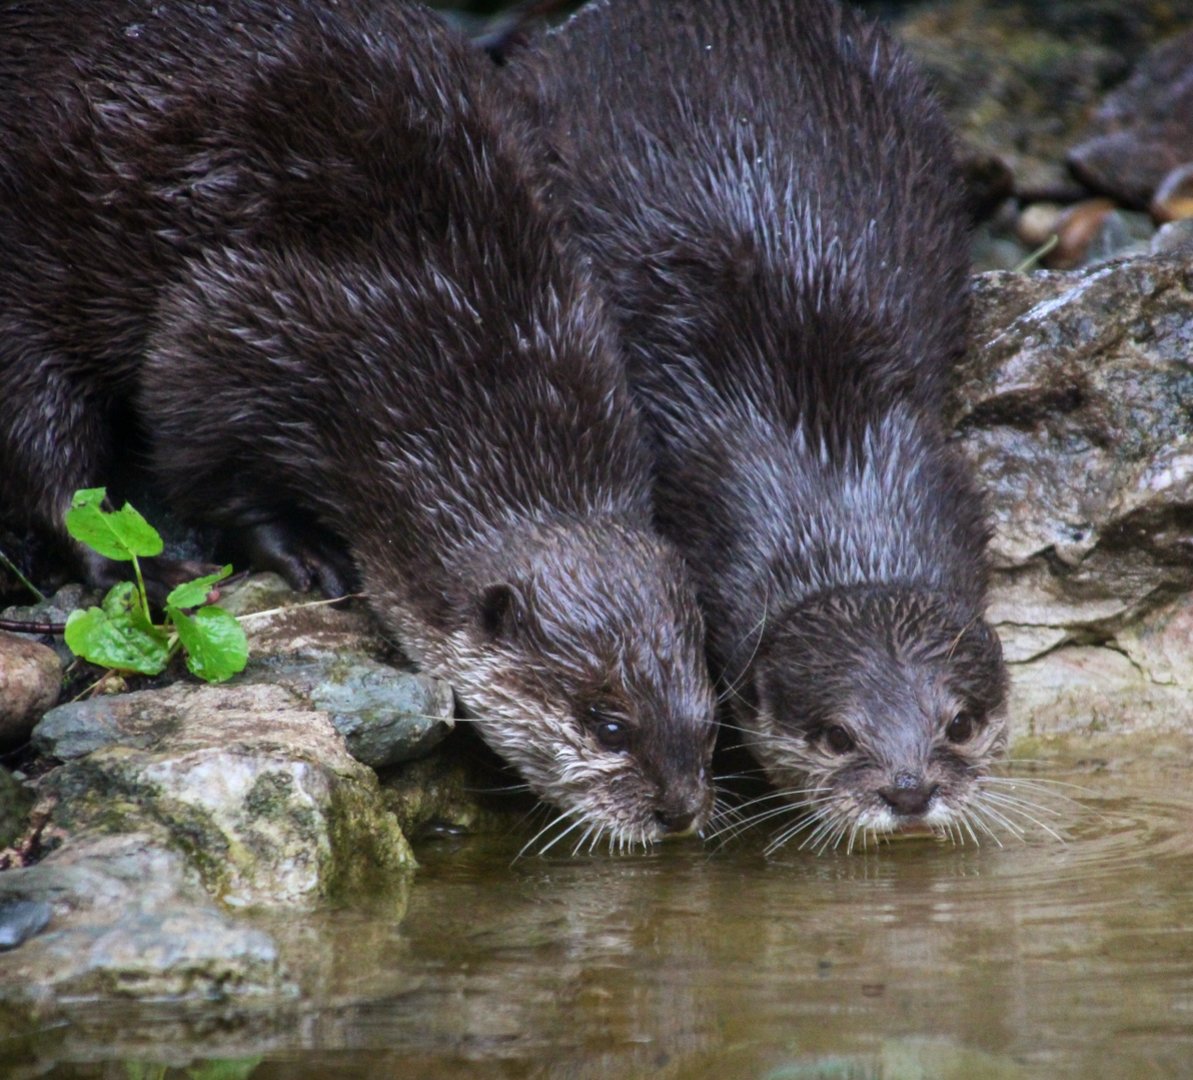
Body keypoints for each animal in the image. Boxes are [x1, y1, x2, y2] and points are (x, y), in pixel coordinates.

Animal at [0, 0, 716, 846]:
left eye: (710, 720)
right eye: (608, 723)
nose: (678, 810)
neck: (456, 352)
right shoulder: (240, 325)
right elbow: (197, 445)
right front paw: (306, 554)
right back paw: (142, 566)